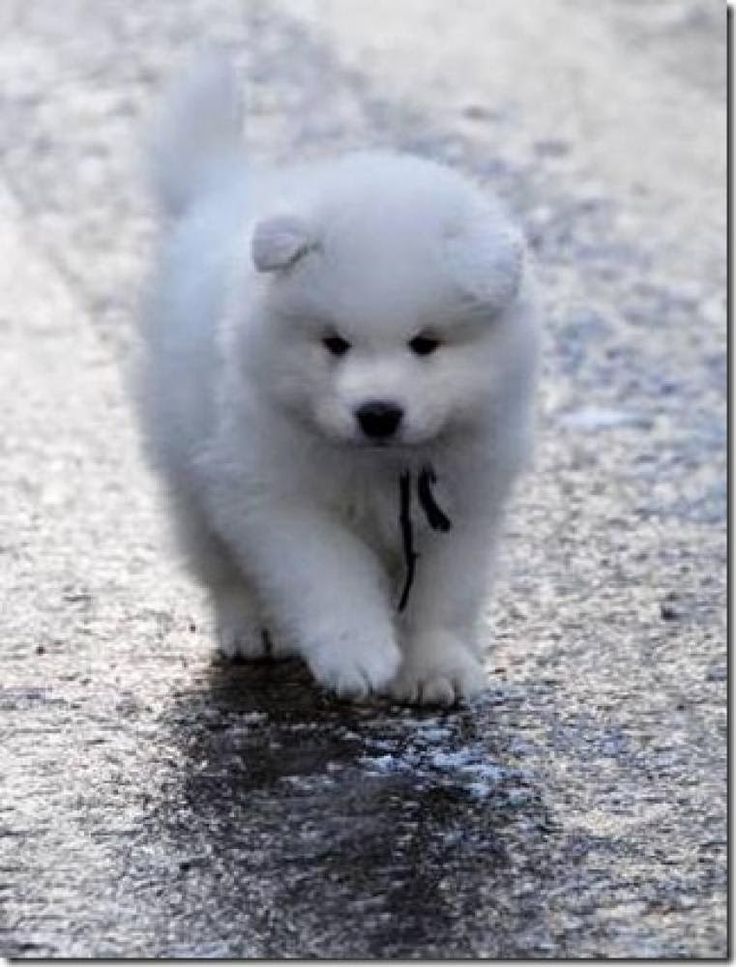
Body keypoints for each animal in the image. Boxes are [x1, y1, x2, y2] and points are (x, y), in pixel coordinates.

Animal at [138, 62, 540, 704]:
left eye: (424, 344)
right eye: (335, 343)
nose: (377, 413)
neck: (380, 465)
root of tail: (223, 191)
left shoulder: (467, 504)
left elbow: (442, 596)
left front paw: (435, 668)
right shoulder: (271, 492)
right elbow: (327, 571)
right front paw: (357, 654)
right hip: (189, 470)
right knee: (221, 564)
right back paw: (254, 628)